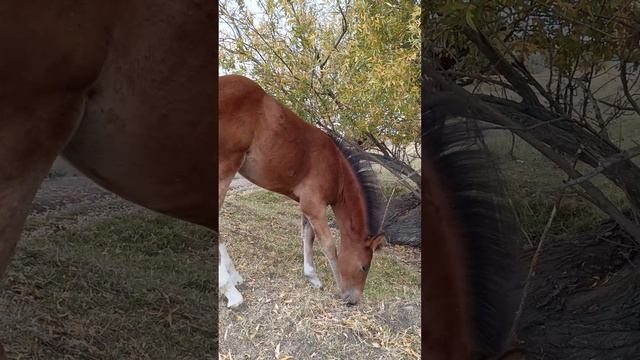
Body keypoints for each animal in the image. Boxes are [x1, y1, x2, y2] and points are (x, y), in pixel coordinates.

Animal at [218, 74, 384, 308]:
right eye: (364, 267)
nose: (354, 300)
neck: (337, 169)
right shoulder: (314, 205)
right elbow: (329, 245)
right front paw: (339, 287)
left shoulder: (307, 203)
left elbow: (308, 236)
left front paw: (312, 277)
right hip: (226, 165)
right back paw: (231, 291)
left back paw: (234, 277)